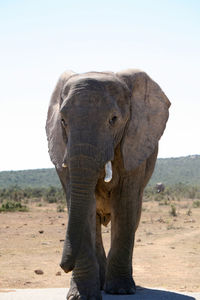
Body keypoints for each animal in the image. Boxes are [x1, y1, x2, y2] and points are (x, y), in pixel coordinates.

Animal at [45, 69, 170, 298]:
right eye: (63, 121)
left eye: (113, 119)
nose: (64, 267)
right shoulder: (61, 147)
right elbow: (82, 206)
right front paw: (81, 296)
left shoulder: (135, 144)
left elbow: (125, 204)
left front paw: (121, 290)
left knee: (133, 215)